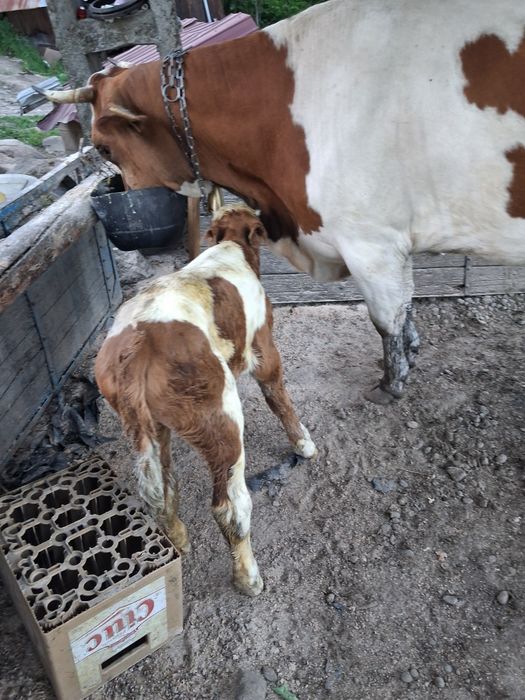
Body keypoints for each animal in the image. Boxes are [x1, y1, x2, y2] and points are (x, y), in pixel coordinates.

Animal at [46, 0, 525, 405]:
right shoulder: (391, 245)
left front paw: (391, 384)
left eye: (103, 147)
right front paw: (409, 355)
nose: (120, 194)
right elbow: (405, 309)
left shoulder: (371, 243)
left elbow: (386, 318)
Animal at [94, 205, 317, 596]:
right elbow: (279, 396)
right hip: (220, 419)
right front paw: (303, 444)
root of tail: (139, 348)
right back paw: (248, 579)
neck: (230, 248)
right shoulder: (264, 347)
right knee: (230, 505)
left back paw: (180, 541)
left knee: (162, 489)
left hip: (148, 427)